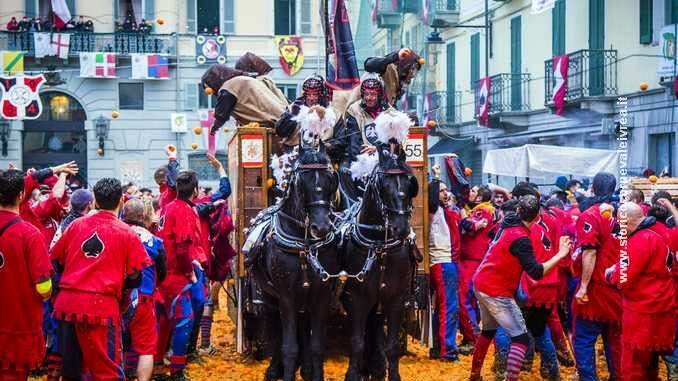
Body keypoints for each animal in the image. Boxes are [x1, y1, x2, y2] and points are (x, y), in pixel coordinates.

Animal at [252, 142, 340, 380]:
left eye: (330, 180)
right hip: (269, 295)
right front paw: (287, 371)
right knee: (275, 329)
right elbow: (289, 346)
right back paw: (274, 368)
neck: (304, 245)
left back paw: (306, 367)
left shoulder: (321, 295)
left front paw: (314, 372)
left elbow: (317, 345)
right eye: (302, 182)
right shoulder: (286, 297)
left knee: (302, 325)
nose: (321, 227)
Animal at [346, 143, 420, 380]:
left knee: (376, 325)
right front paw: (353, 374)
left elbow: (392, 345)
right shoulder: (357, 298)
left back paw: (376, 365)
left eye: (409, 183)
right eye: (383, 186)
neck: (379, 247)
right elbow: (357, 341)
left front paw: (391, 373)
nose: (402, 229)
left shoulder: (395, 298)